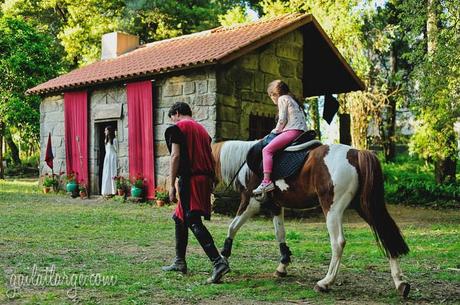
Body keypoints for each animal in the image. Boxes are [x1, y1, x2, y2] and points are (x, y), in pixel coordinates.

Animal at [211, 141, 410, 296]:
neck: (244, 163)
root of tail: (355, 153)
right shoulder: (275, 206)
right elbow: (280, 234)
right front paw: (282, 266)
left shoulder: (251, 201)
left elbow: (232, 228)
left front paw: (222, 264)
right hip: (365, 206)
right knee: (386, 234)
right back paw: (400, 283)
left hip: (332, 209)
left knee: (338, 242)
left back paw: (325, 282)